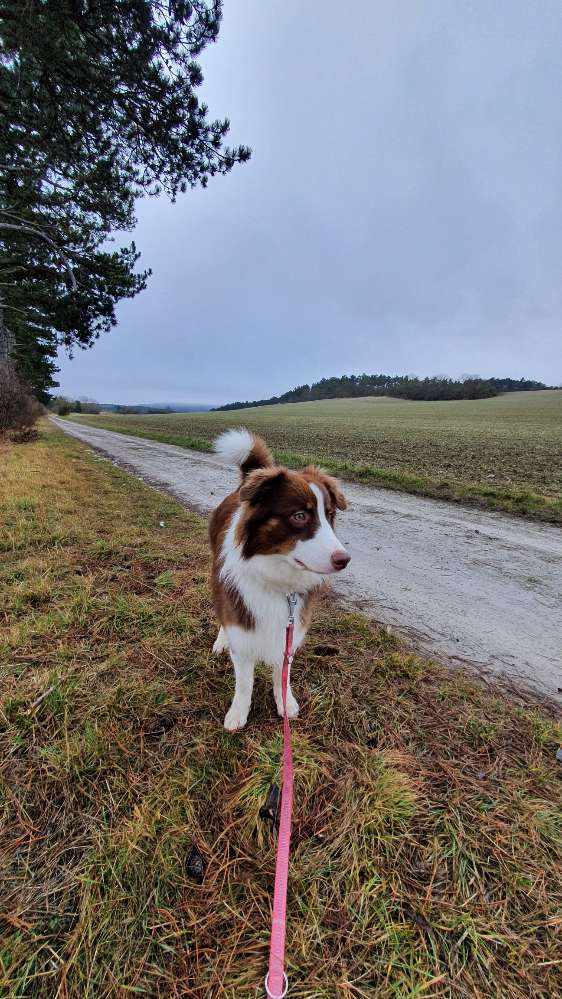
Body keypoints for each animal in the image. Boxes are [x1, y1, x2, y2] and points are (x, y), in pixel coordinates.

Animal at [210, 426, 350, 732]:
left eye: (329, 515)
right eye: (299, 516)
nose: (344, 559)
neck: (278, 582)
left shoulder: (291, 629)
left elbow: (281, 673)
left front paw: (284, 702)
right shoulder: (241, 625)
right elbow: (244, 683)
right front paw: (238, 713)